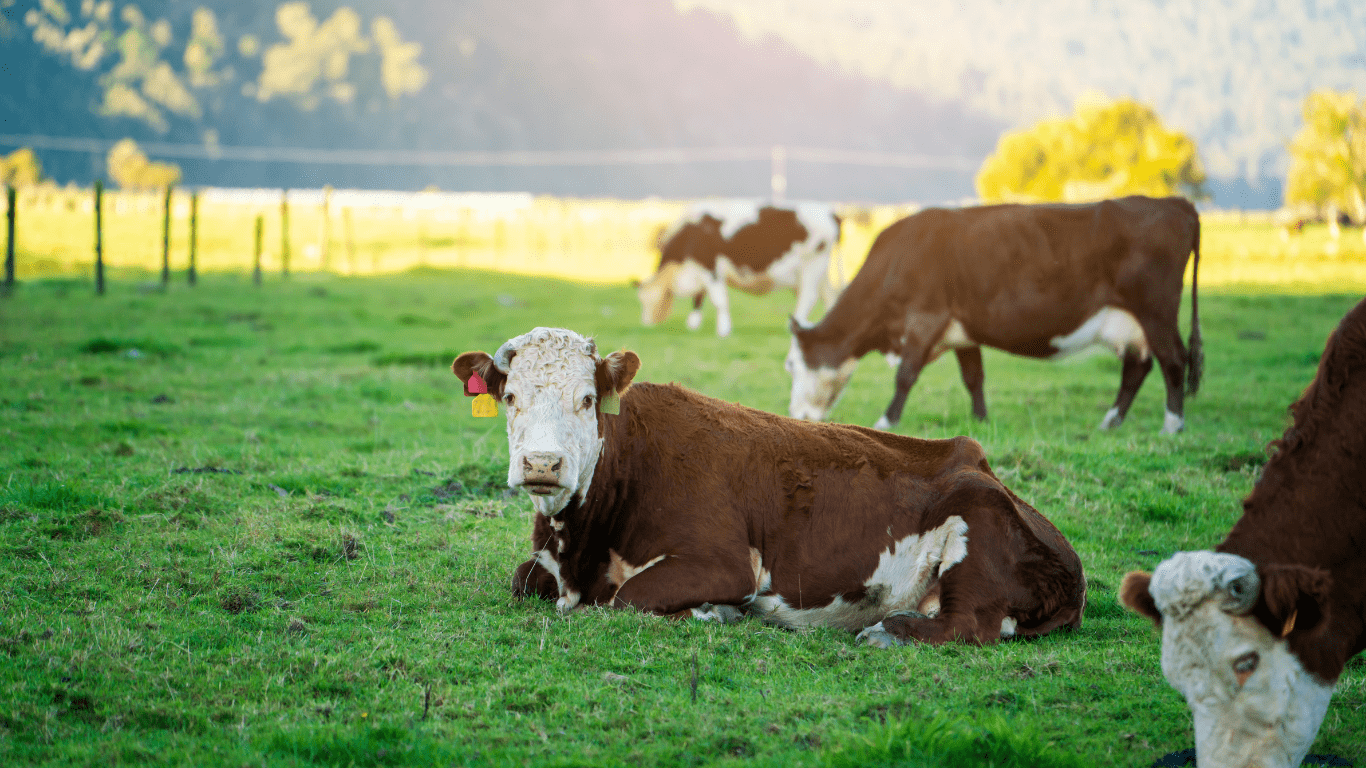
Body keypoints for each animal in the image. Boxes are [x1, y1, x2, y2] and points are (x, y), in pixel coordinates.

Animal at [452, 326, 1087, 646]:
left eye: (586, 400)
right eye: (510, 397)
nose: (542, 463)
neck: (581, 543)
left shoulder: (723, 562)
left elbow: (624, 599)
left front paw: (715, 613)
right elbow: (522, 580)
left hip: (974, 521)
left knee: (970, 626)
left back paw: (888, 631)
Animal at [636, 199, 842, 338]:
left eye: (646, 300)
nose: (646, 325)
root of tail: (830, 213)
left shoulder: (710, 268)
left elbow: (718, 300)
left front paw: (723, 331)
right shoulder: (700, 270)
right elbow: (699, 298)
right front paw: (693, 324)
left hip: (812, 266)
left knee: (808, 297)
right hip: (820, 273)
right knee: (830, 297)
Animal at [785, 195, 1202, 434]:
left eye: (791, 365)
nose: (796, 415)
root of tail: (1174, 202)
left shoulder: (925, 317)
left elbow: (905, 376)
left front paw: (886, 421)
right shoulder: (961, 330)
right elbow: (974, 378)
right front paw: (981, 420)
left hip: (1156, 311)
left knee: (1173, 360)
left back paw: (1173, 424)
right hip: (1134, 323)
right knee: (1138, 368)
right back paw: (1111, 422)